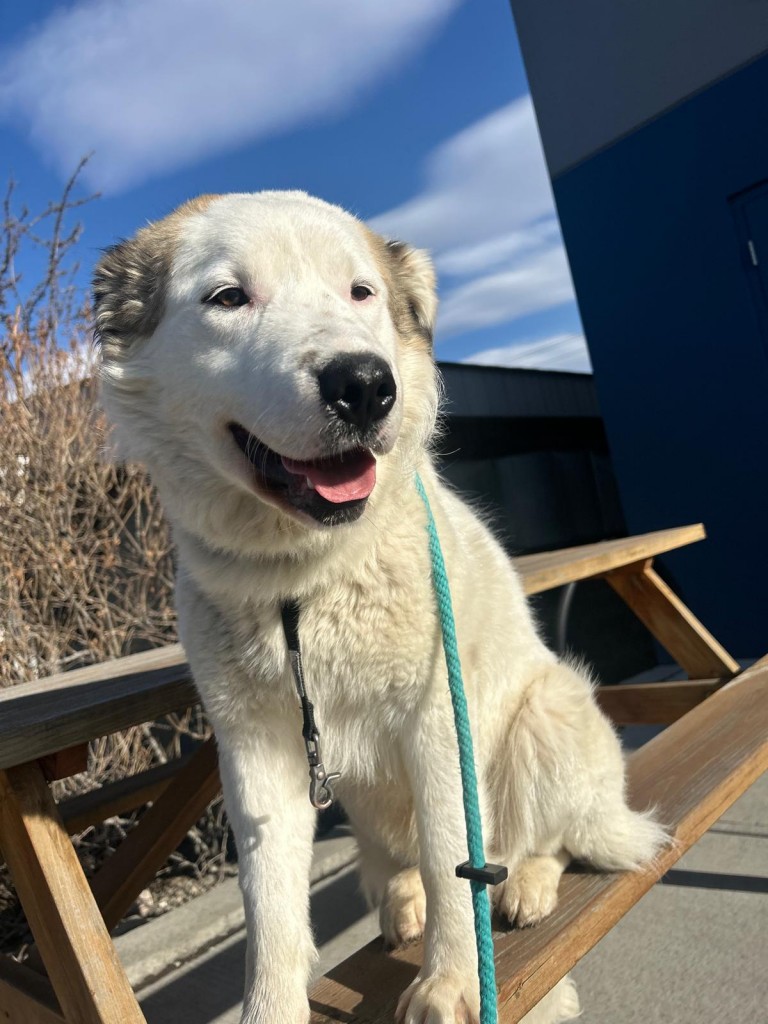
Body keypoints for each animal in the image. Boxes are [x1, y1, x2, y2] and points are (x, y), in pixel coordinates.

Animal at [94, 191, 665, 1024]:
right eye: (228, 297)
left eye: (360, 293)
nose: (364, 383)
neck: (303, 582)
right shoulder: (257, 752)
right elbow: (269, 909)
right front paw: (272, 1009)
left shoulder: (436, 720)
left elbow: (455, 855)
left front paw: (454, 984)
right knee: (407, 864)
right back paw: (402, 898)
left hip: (548, 711)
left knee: (542, 841)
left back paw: (525, 885)